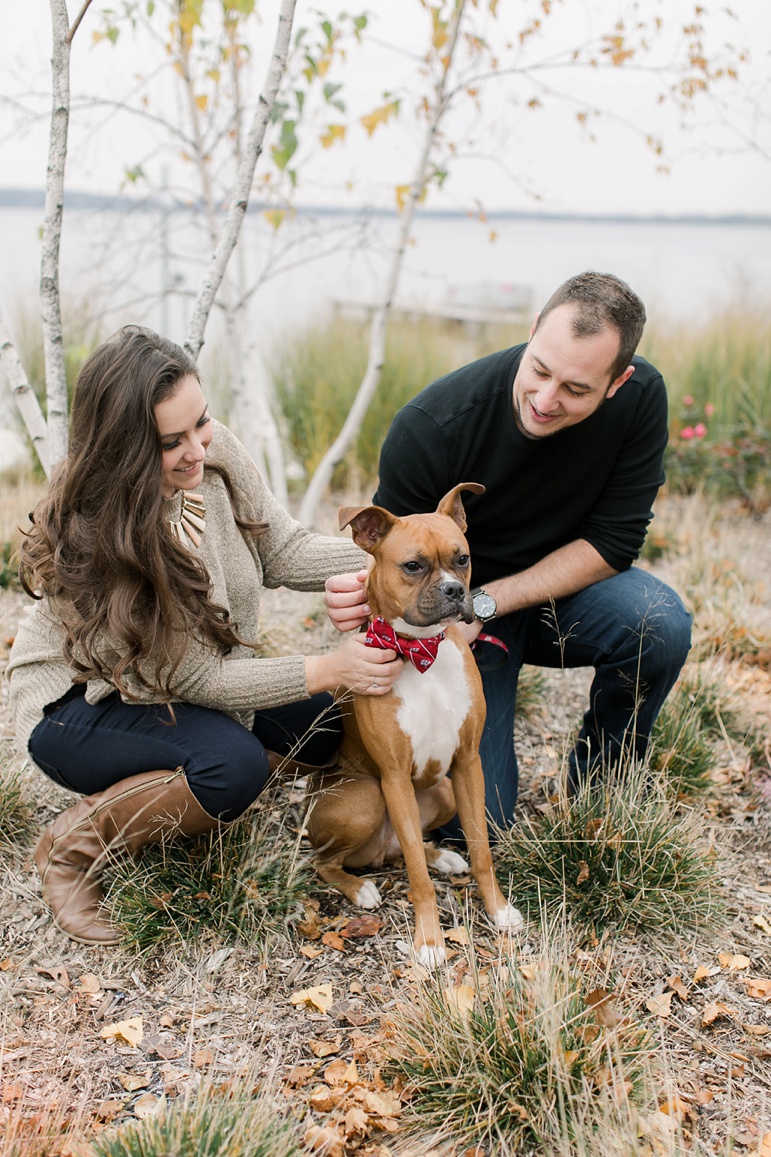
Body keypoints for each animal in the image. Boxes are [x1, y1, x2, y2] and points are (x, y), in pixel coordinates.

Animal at [303, 483, 518, 962]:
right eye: (413, 566)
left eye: (462, 558)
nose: (455, 590)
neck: (422, 653)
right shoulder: (395, 777)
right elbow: (419, 879)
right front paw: (430, 941)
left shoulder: (467, 763)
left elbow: (481, 851)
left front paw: (497, 910)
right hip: (367, 798)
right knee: (328, 861)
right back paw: (360, 888)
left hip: (444, 791)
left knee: (409, 847)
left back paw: (441, 856)